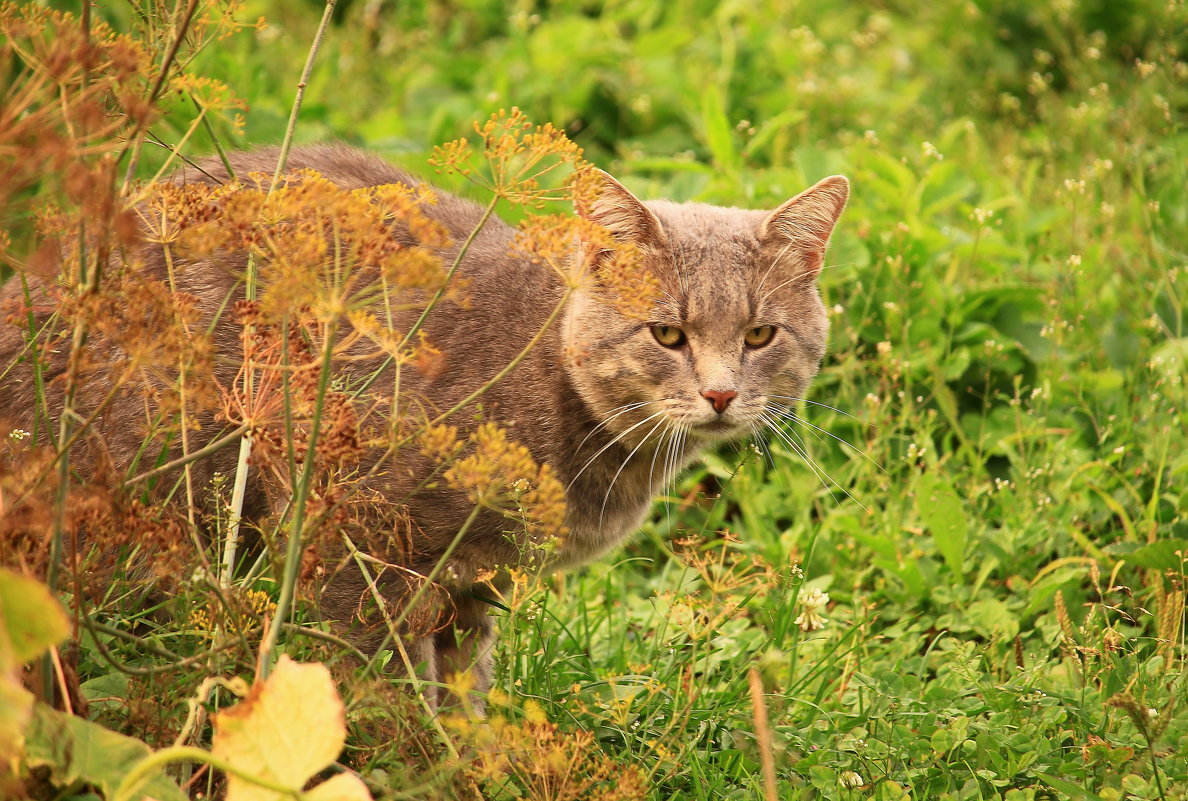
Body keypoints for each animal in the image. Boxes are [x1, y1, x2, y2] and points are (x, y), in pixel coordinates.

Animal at [0, 143, 845, 703]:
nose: (722, 394)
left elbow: (466, 688)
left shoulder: (475, 582)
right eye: (667, 333)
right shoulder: (360, 542)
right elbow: (380, 687)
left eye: (759, 335)